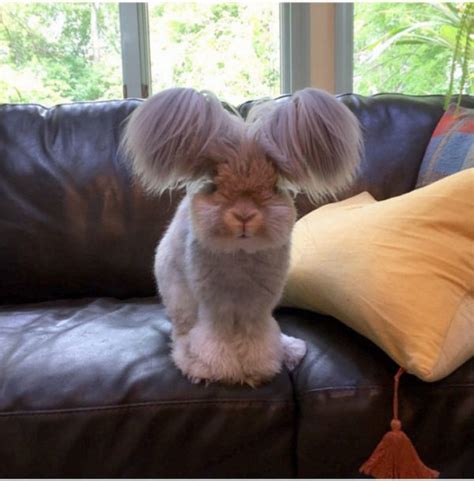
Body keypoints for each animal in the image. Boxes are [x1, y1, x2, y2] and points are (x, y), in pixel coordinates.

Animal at [122, 87, 362, 386]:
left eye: (273, 185)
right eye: (215, 184)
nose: (244, 216)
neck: (240, 254)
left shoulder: (256, 308)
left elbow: (256, 337)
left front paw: (258, 369)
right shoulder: (216, 306)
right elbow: (216, 338)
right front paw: (219, 369)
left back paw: (290, 350)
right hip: (179, 297)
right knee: (183, 332)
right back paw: (189, 359)